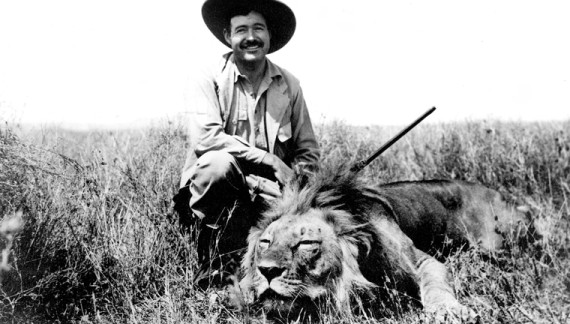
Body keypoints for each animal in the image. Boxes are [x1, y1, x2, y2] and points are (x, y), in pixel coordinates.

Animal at [236, 166, 532, 320]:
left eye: (306, 243)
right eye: (265, 242)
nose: (267, 271)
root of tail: (508, 198)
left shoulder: (424, 261)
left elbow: (436, 286)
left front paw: (451, 312)